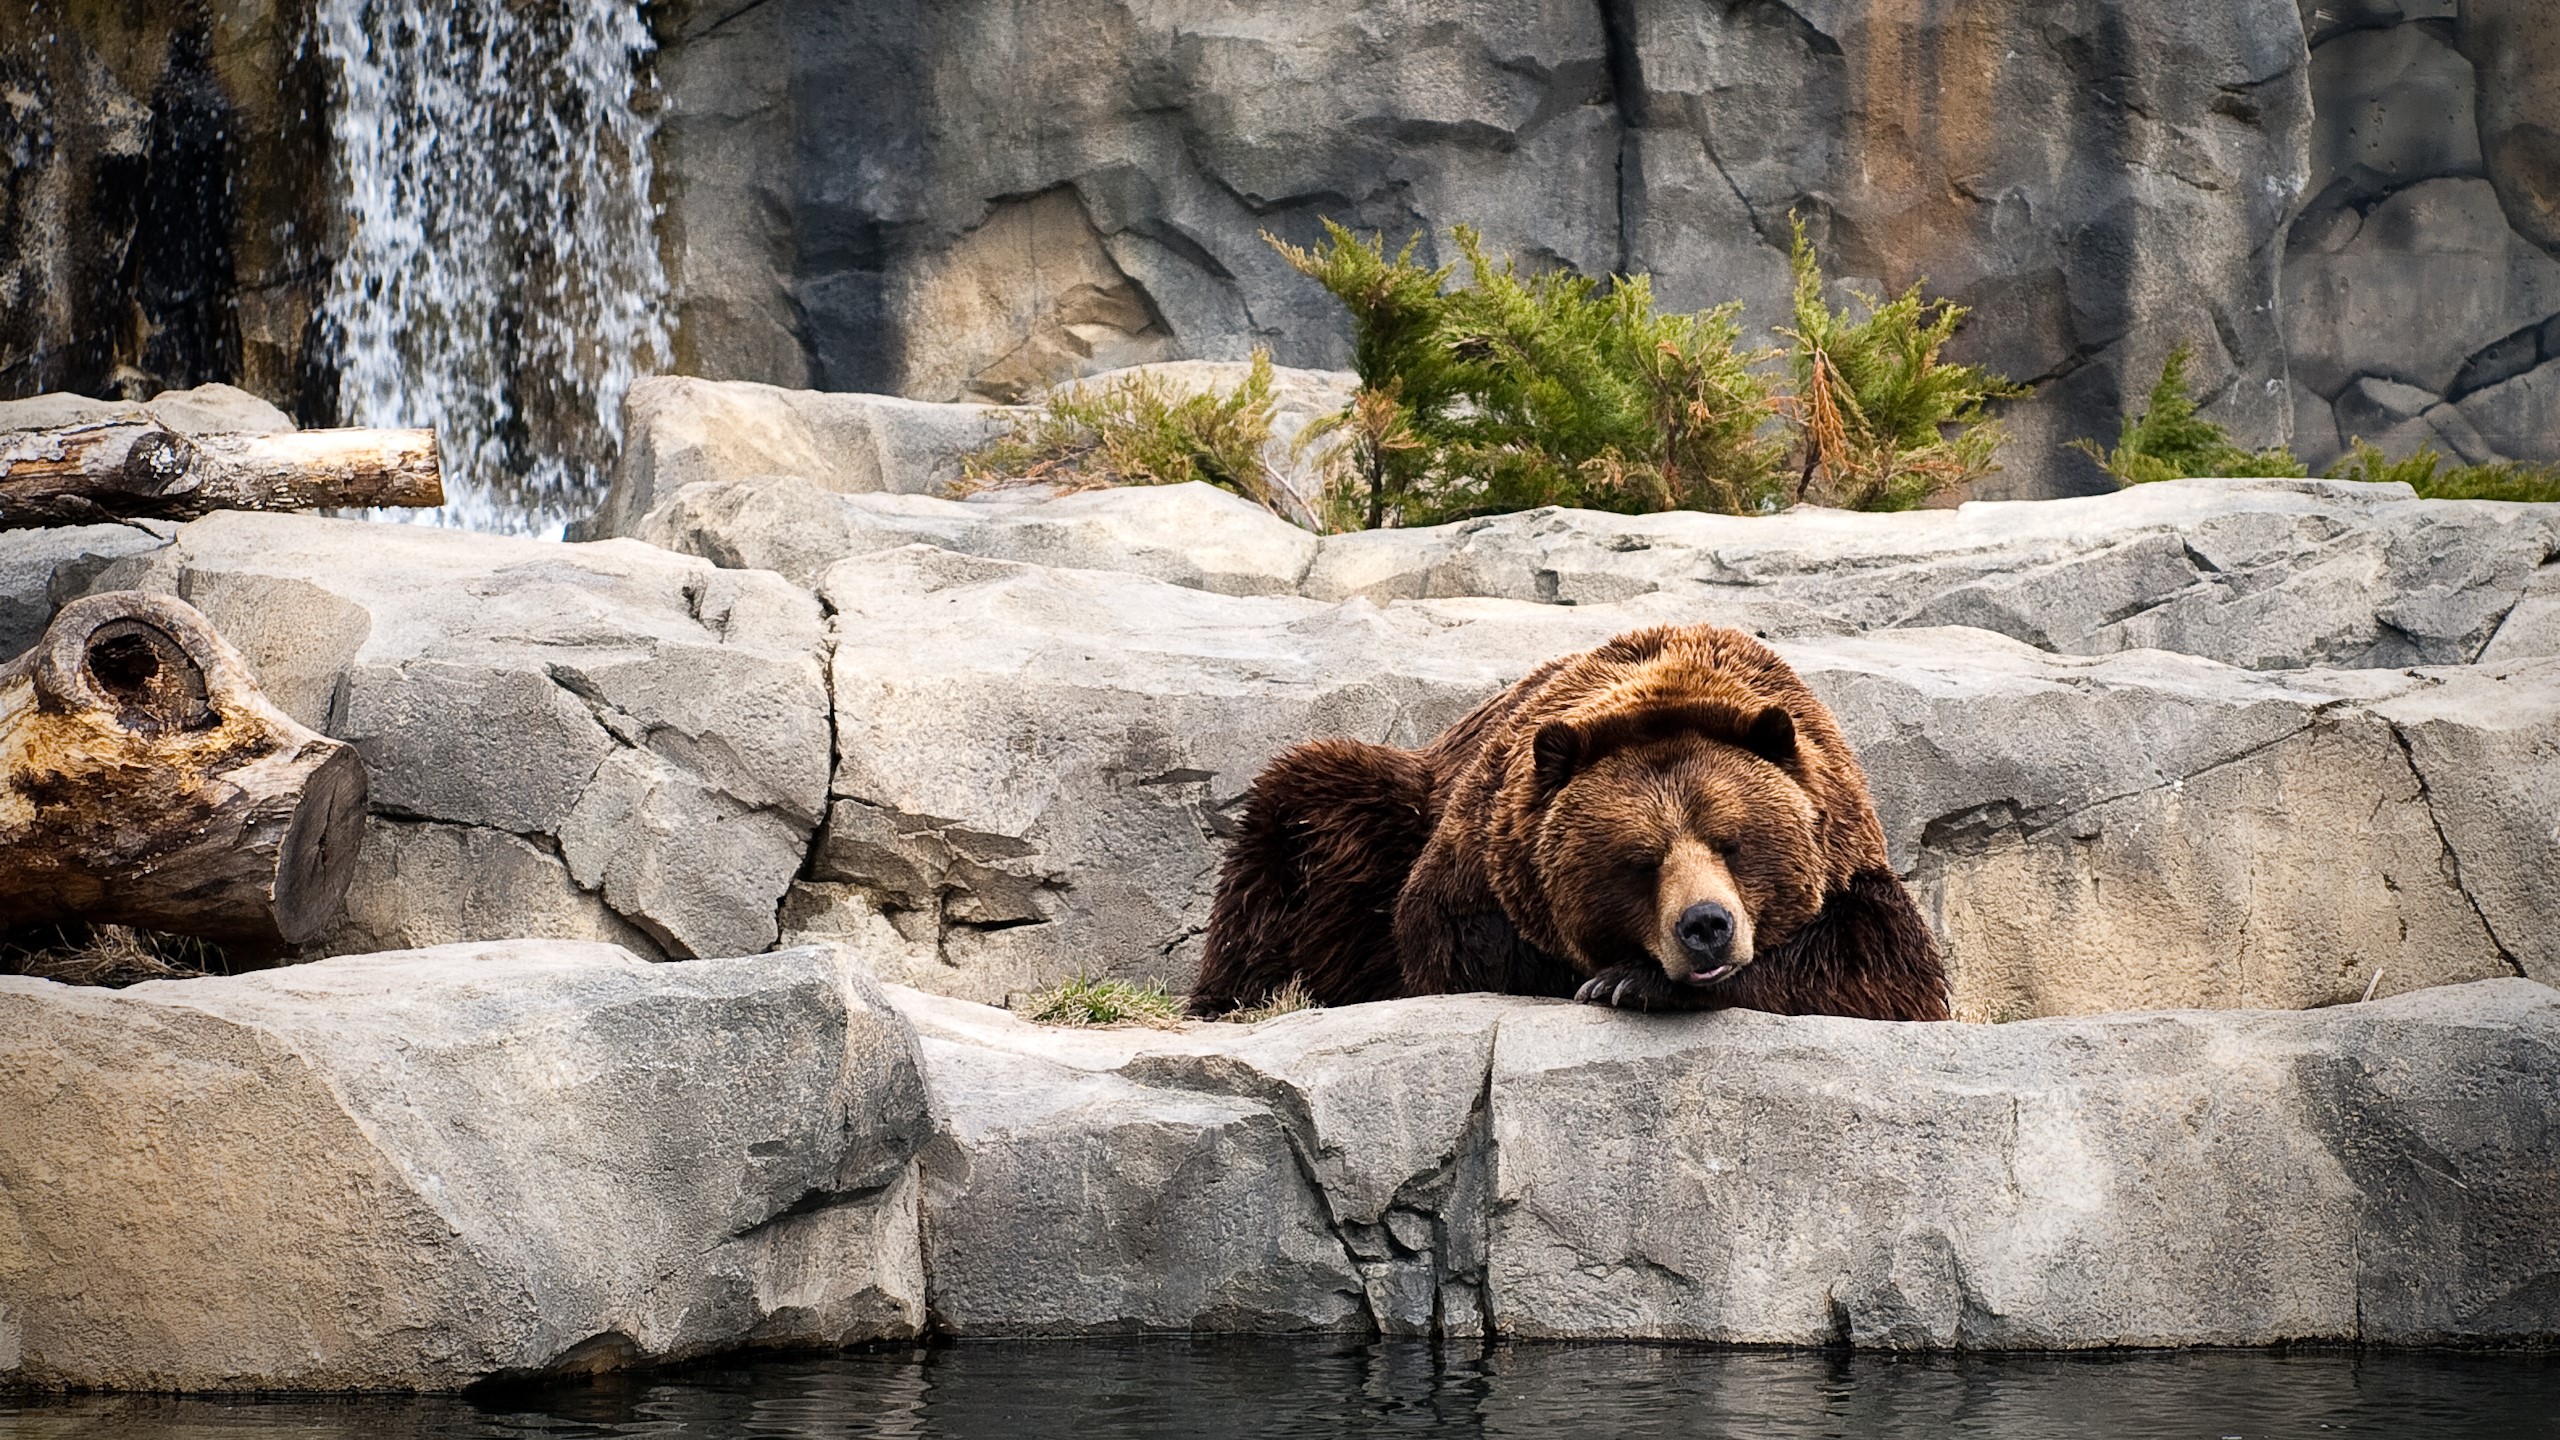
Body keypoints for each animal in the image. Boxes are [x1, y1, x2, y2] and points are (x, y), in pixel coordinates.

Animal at [1188, 622, 1948, 1020]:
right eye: (1641, 861)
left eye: (1732, 843)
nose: (1705, 925)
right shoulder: (1480, 856)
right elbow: (1455, 944)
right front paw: (1615, 976)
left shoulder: (1847, 854)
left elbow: (1882, 967)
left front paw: (1631, 981)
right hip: (1384, 812)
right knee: (1300, 818)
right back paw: (1230, 997)